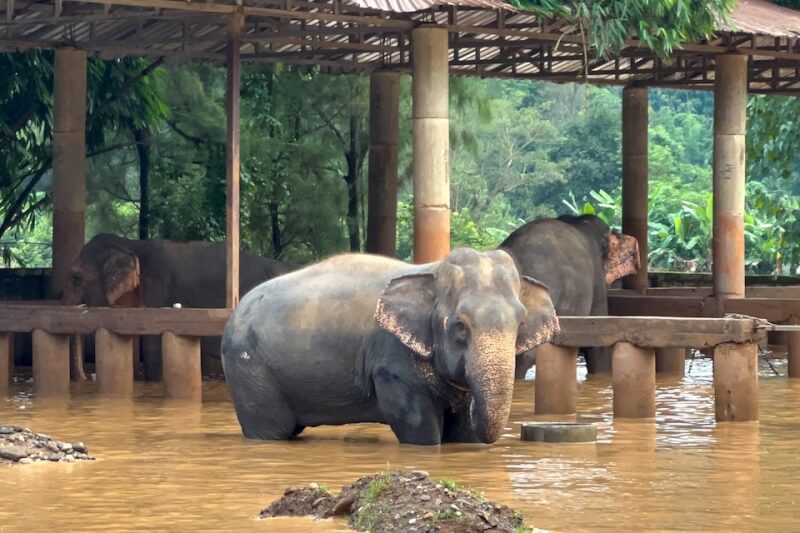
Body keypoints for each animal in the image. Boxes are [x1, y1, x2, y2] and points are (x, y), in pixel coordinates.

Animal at [219, 247, 556, 442]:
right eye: (460, 326)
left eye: (520, 324)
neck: (432, 270)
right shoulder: (392, 362)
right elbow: (419, 426)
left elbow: (461, 432)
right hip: (249, 369)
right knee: (270, 430)